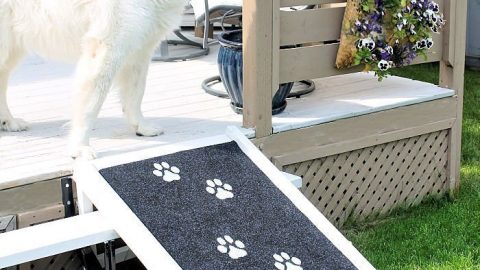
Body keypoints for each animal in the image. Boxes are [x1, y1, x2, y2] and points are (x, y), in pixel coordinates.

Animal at [0, 0, 187, 158]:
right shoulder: (105, 49)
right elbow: (90, 105)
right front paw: (80, 147)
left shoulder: (140, 49)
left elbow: (136, 93)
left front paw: (141, 126)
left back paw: (9, 122)